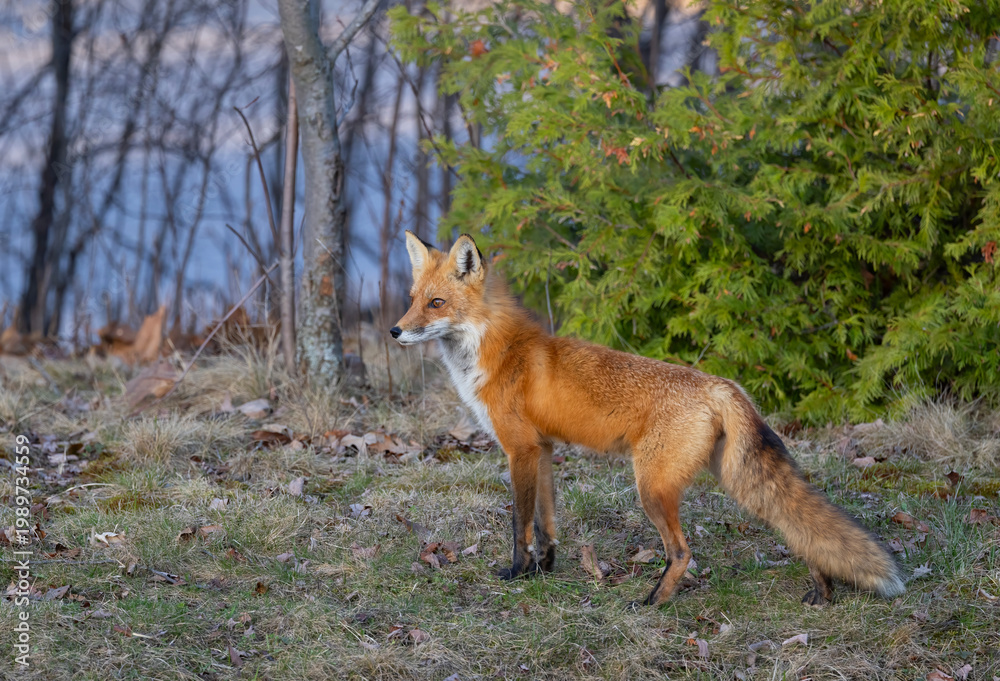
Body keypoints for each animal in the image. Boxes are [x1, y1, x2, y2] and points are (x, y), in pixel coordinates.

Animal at [390, 231, 905, 607]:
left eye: (436, 304)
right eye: (412, 298)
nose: (395, 330)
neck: (495, 351)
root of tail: (722, 384)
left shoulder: (519, 449)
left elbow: (520, 525)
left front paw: (516, 574)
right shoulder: (543, 449)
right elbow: (547, 524)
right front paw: (544, 571)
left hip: (652, 487)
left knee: (682, 552)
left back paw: (654, 600)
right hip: (734, 478)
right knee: (799, 529)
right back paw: (823, 590)